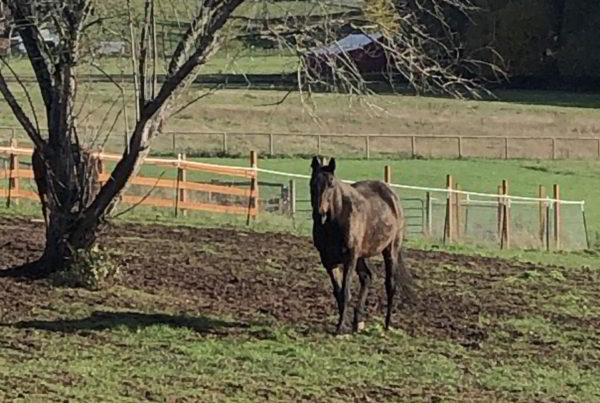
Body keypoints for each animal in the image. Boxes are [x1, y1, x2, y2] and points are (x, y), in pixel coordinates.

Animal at [310, 156, 412, 336]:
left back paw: (387, 324)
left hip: (390, 250)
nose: (319, 213)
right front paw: (343, 325)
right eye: (312, 183)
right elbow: (338, 293)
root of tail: (391, 195)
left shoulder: (349, 258)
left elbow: (345, 292)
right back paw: (358, 322)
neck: (335, 220)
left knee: (390, 285)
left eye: (331, 184)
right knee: (367, 277)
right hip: (361, 256)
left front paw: (340, 329)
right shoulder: (328, 260)